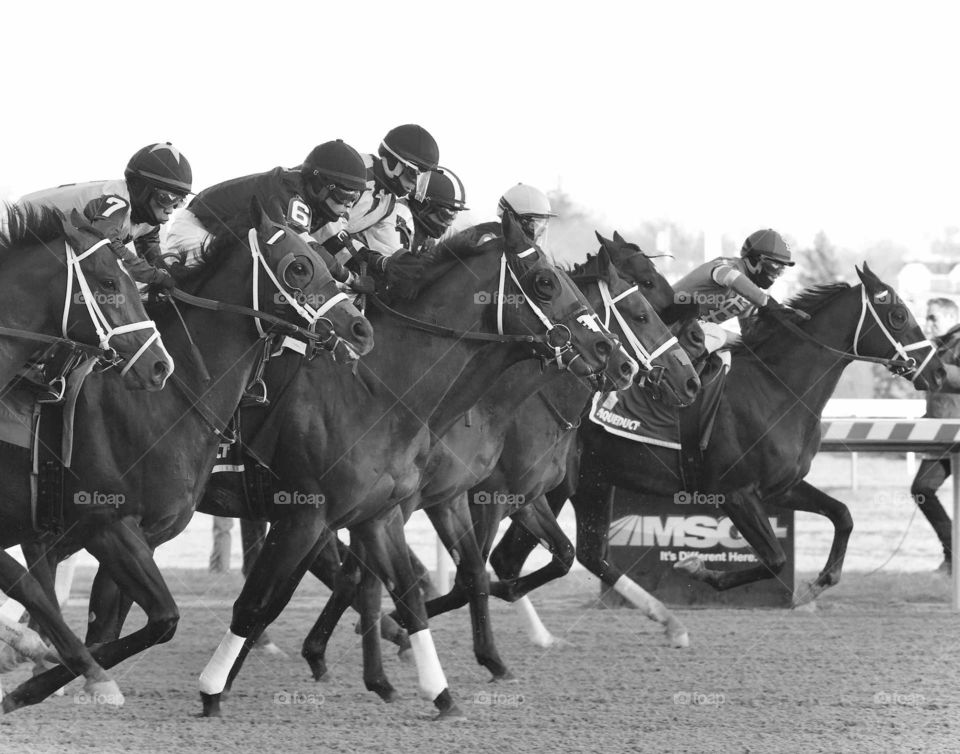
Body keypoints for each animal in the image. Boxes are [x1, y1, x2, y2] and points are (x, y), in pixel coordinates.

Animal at [0, 197, 374, 708]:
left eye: (328, 262)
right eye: (299, 266)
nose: (360, 328)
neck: (171, 400)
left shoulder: (146, 534)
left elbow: (126, 625)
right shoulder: (106, 525)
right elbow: (151, 619)